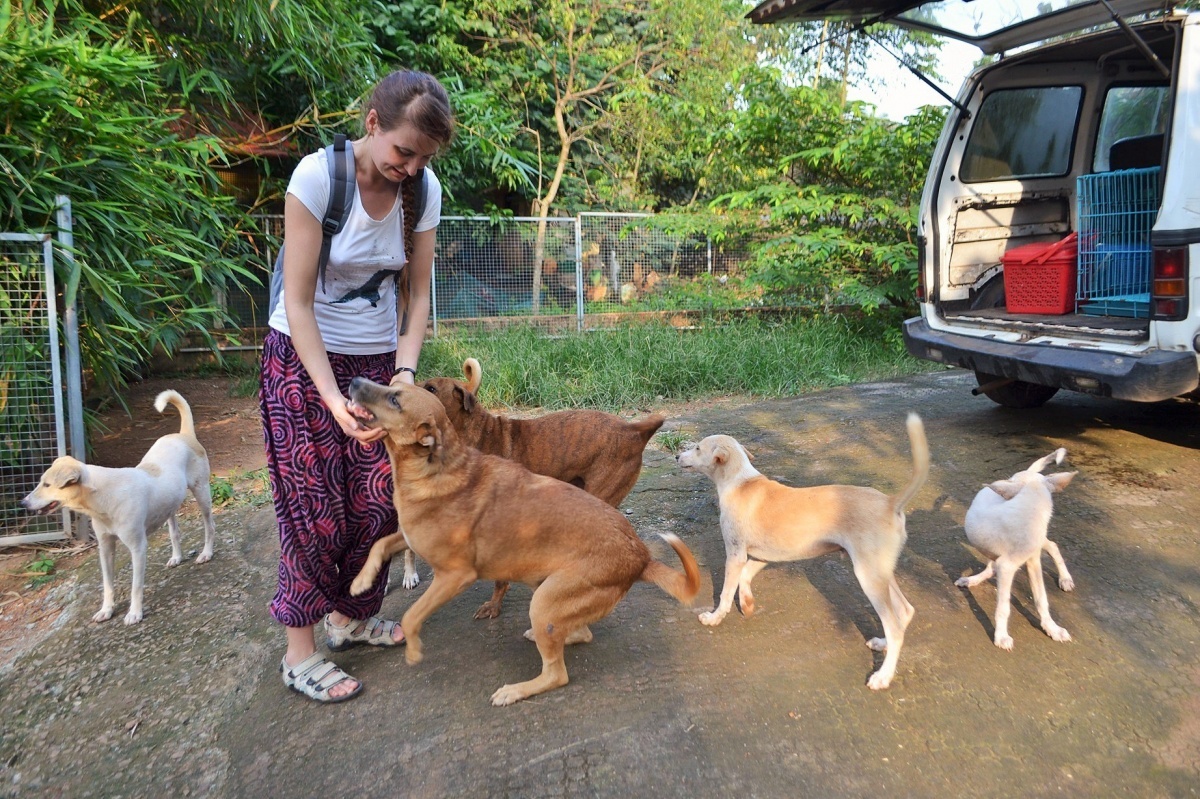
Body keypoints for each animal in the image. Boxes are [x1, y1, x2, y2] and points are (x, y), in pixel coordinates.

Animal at [22, 388, 217, 623]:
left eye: (47, 484)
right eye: (41, 482)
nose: (23, 503)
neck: (104, 497)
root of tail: (184, 434)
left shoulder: (138, 548)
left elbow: (136, 586)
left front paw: (134, 613)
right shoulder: (105, 548)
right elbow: (107, 584)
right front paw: (107, 610)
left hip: (202, 494)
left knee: (210, 526)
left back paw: (206, 553)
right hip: (169, 505)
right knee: (174, 532)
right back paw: (176, 557)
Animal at [676, 412, 926, 686]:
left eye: (697, 448)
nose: (676, 457)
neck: (740, 482)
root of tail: (891, 503)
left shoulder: (735, 553)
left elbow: (725, 592)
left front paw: (714, 617)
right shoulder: (764, 555)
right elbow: (745, 577)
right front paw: (748, 603)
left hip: (868, 576)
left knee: (894, 626)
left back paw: (883, 676)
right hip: (880, 573)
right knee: (904, 611)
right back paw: (883, 644)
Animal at [955, 443, 1080, 652]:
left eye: (1012, 478)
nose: (1005, 480)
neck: (1030, 502)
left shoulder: (1032, 562)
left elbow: (1041, 599)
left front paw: (1051, 628)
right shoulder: (1007, 566)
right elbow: (1004, 607)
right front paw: (1001, 636)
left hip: (1035, 545)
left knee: (1052, 546)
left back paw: (1065, 579)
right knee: (991, 569)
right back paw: (971, 580)